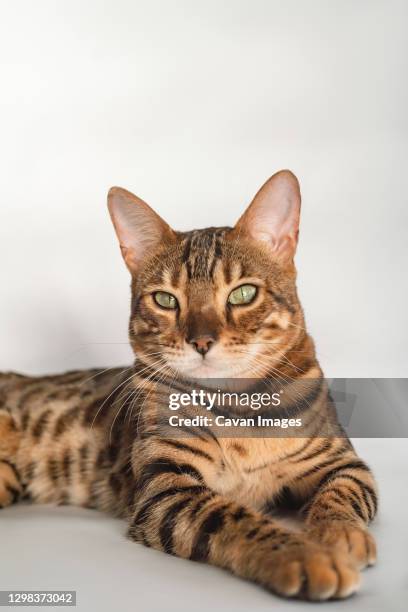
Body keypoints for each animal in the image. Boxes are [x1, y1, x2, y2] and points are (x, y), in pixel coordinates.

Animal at [0, 172, 376, 604]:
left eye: (243, 293)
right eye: (165, 300)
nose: (201, 341)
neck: (239, 407)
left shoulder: (343, 461)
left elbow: (341, 494)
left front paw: (339, 535)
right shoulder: (167, 487)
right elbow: (232, 516)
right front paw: (305, 555)